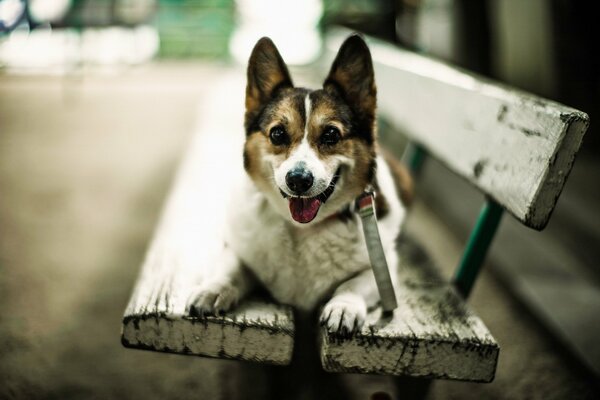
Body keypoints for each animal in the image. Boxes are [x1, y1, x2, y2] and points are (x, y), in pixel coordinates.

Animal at [188, 35, 412, 334]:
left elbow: (353, 284)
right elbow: (231, 269)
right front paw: (213, 289)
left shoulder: (383, 268)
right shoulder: (237, 248)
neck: (301, 229)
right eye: (277, 134)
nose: (298, 180)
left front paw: (344, 306)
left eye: (331, 135)